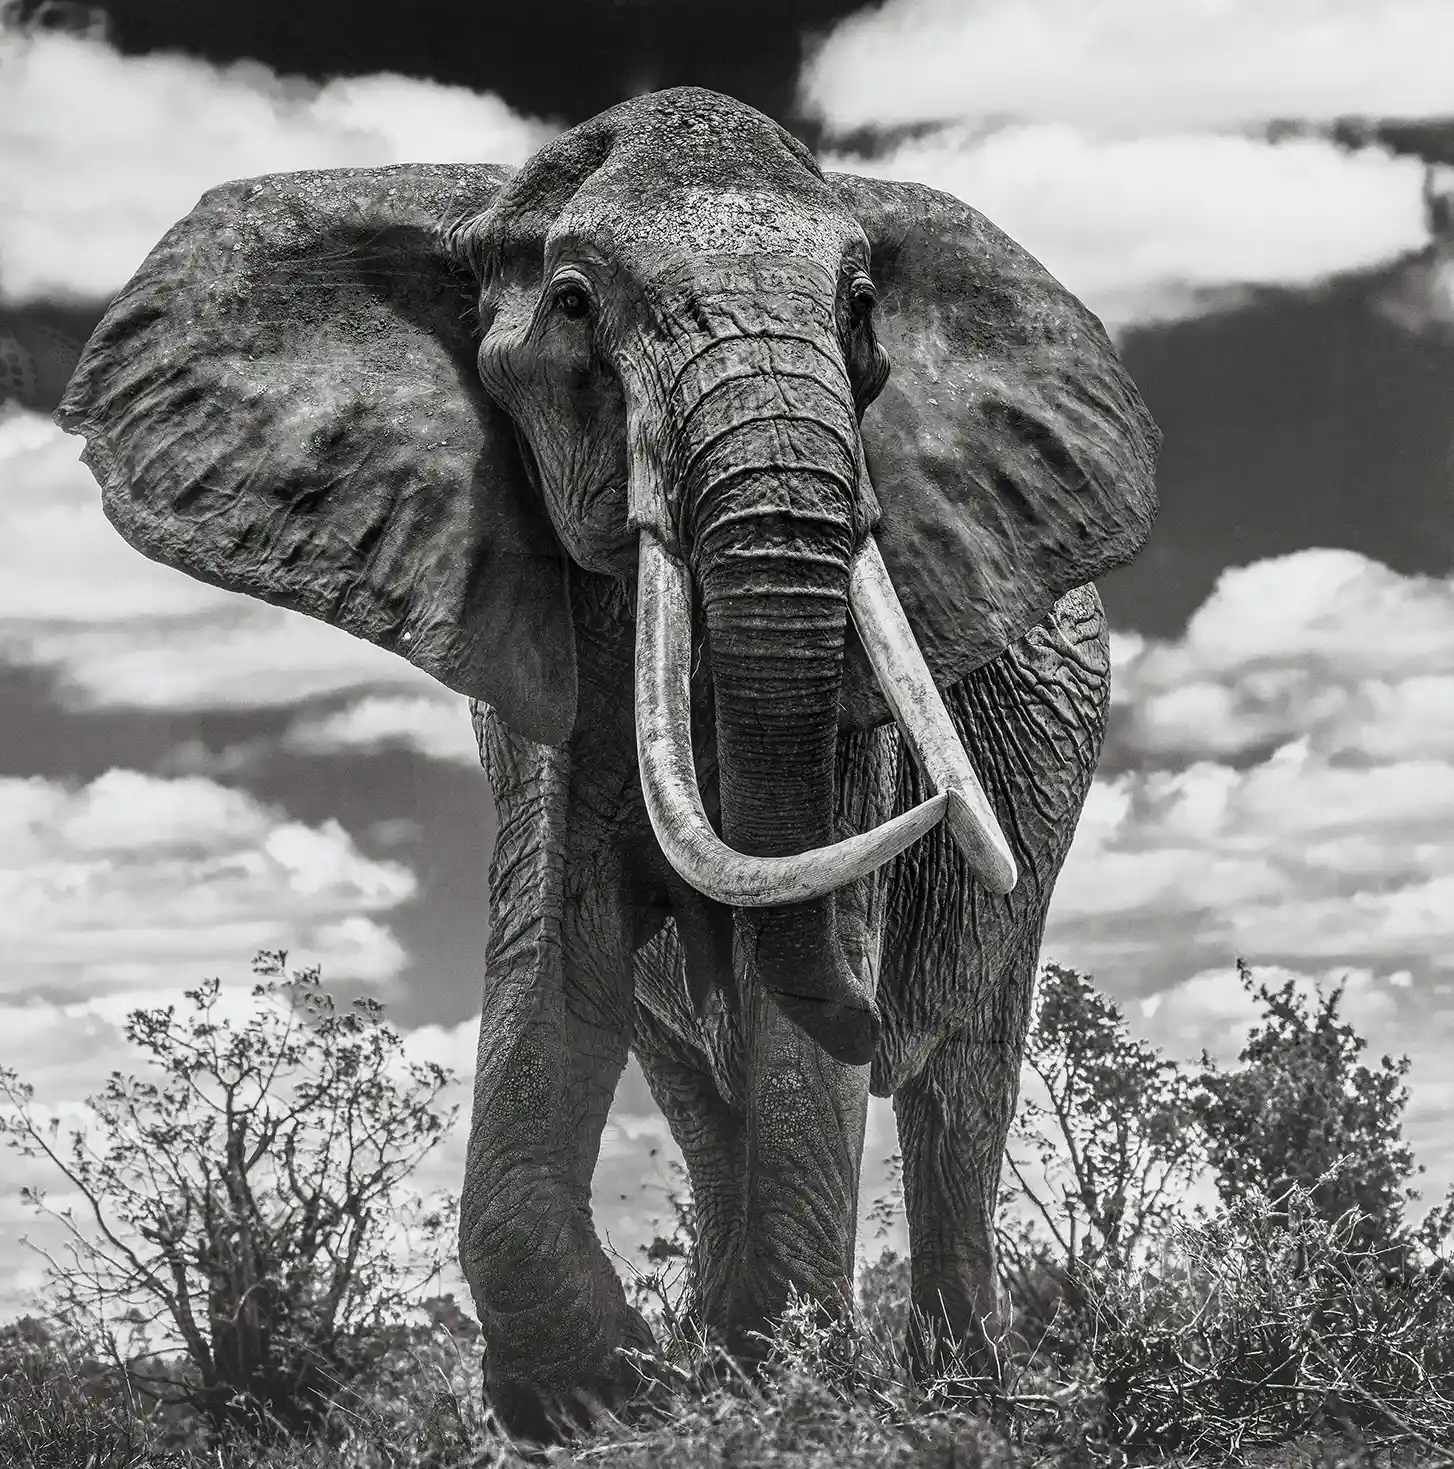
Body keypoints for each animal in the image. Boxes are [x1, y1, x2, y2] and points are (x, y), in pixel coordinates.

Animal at [55, 88, 1159, 1439]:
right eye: (575, 303)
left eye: (858, 306)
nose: (864, 1015)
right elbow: (559, 951)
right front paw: (613, 1394)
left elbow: (802, 983)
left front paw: (791, 1393)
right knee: (702, 1090)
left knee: (954, 1087)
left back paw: (954, 1393)